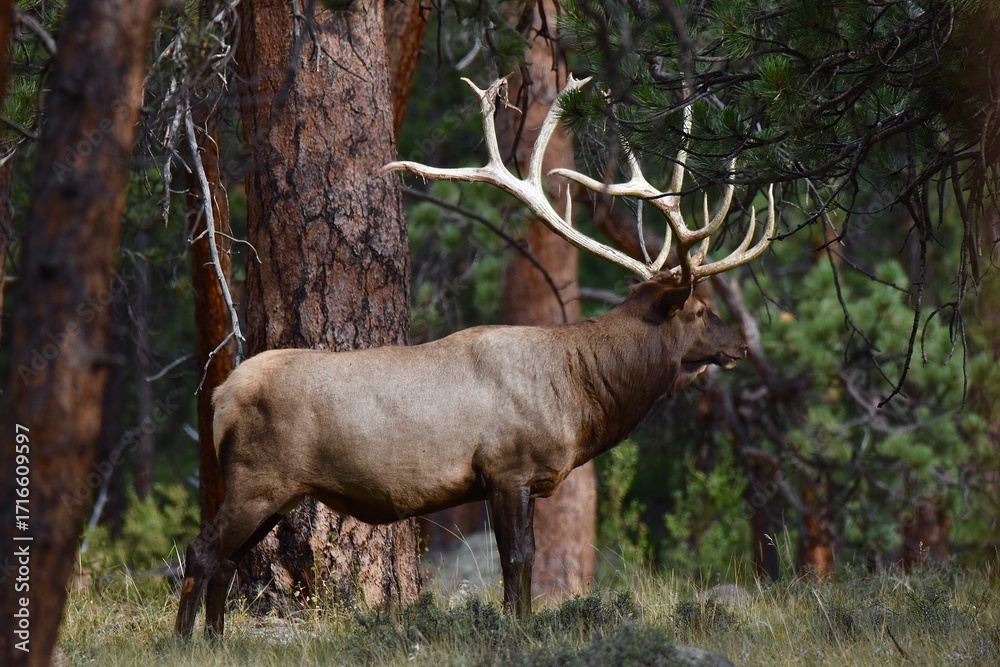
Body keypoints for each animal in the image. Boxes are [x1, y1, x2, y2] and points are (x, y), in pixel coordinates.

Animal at [174, 75, 775, 638]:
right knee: (202, 551)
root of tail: (221, 394)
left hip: (273, 491)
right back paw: (185, 641)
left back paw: (216, 639)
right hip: (258, 476)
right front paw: (518, 629)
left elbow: (520, 565)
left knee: (226, 562)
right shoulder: (508, 465)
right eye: (699, 310)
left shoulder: (506, 480)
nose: (741, 345)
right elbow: (518, 561)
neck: (578, 395)